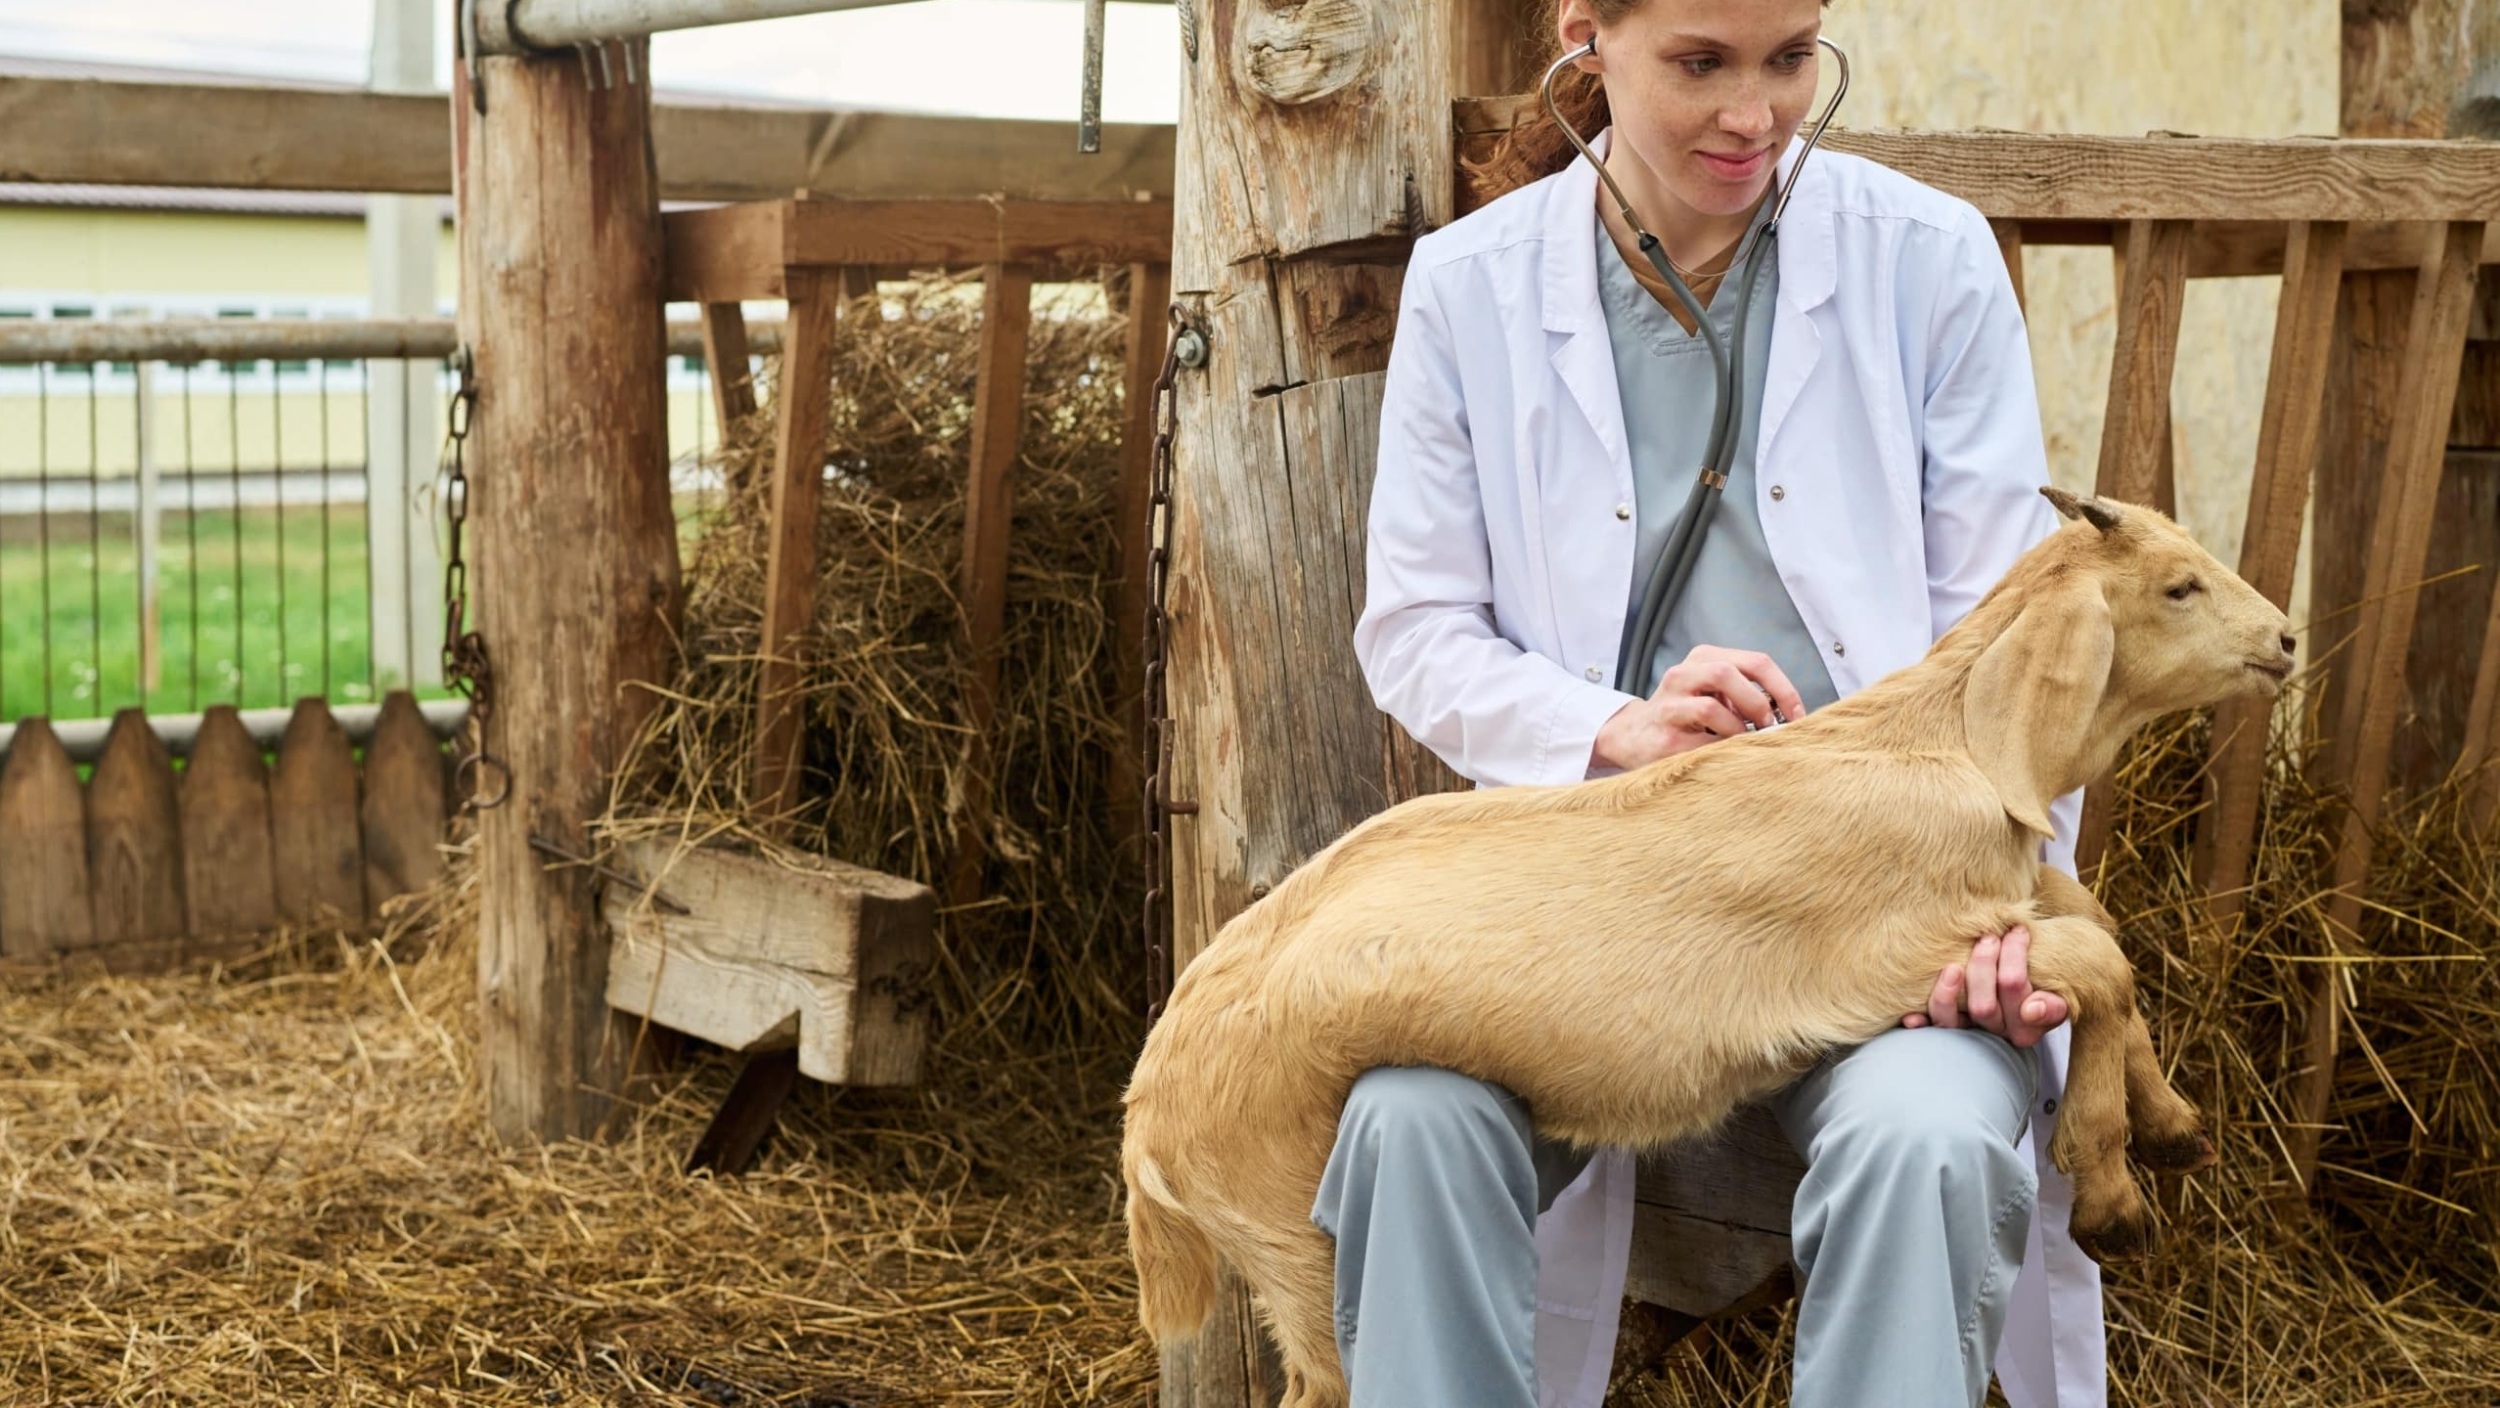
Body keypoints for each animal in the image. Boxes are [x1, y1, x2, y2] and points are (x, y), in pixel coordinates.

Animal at [1125, 487, 2290, 1408]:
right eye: (2178, 587)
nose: (2284, 638)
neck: (1945, 741)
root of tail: (1147, 1126)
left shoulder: (2000, 898)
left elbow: (2094, 921)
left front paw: (2176, 1128)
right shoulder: (1893, 953)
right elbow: (2099, 960)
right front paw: (2113, 1198)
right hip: (1295, 1237)